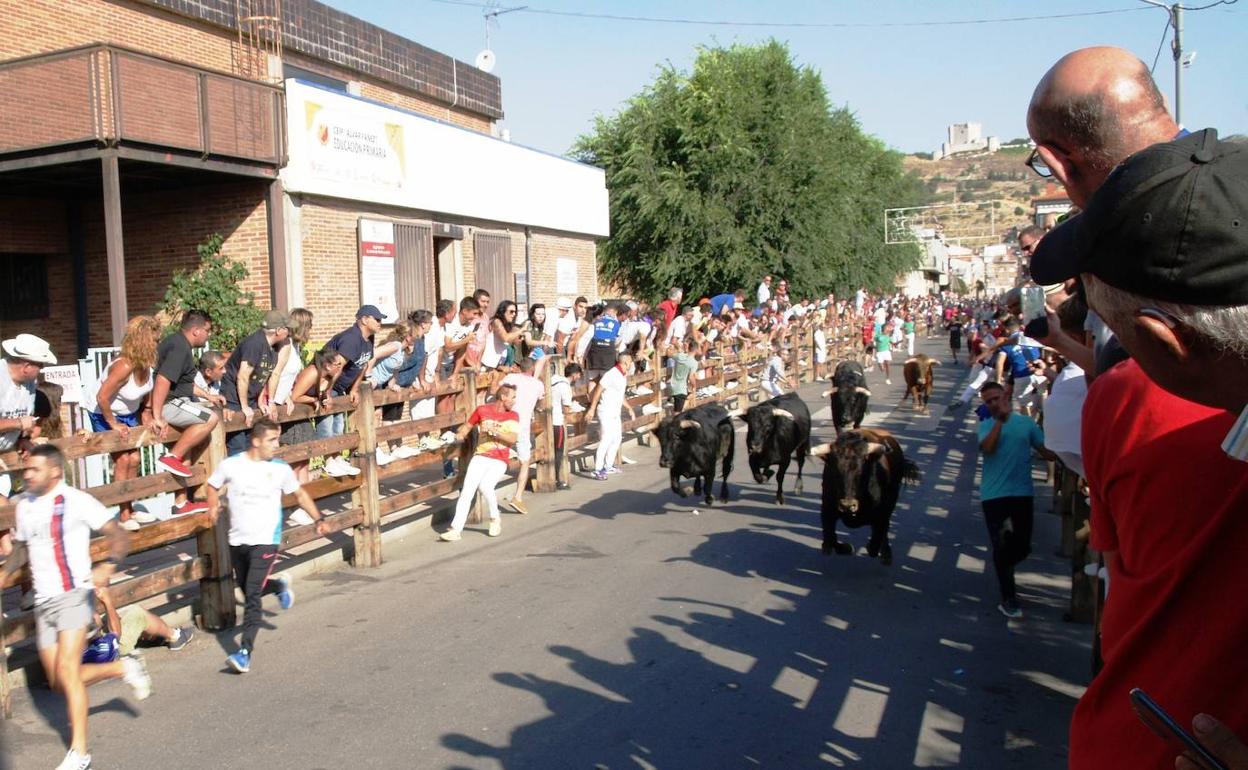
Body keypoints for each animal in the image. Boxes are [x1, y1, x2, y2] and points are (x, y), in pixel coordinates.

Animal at [813, 426, 923, 564]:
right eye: (835, 471)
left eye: (862, 471)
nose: (847, 505)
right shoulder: (827, 510)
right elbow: (830, 536)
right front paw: (845, 548)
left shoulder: (882, 512)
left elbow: (876, 540)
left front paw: (872, 547)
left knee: (885, 530)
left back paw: (886, 553)